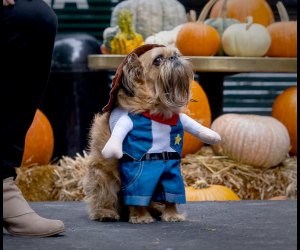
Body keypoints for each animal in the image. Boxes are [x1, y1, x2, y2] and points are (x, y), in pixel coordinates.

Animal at [82, 44, 220, 224]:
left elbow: (171, 195)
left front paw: (172, 215)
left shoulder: (172, 170)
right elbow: (137, 195)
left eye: (176, 54)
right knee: (104, 196)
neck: (158, 112)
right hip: (103, 176)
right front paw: (140, 217)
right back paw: (106, 213)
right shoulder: (137, 170)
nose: (174, 58)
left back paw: (155, 210)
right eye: (158, 60)